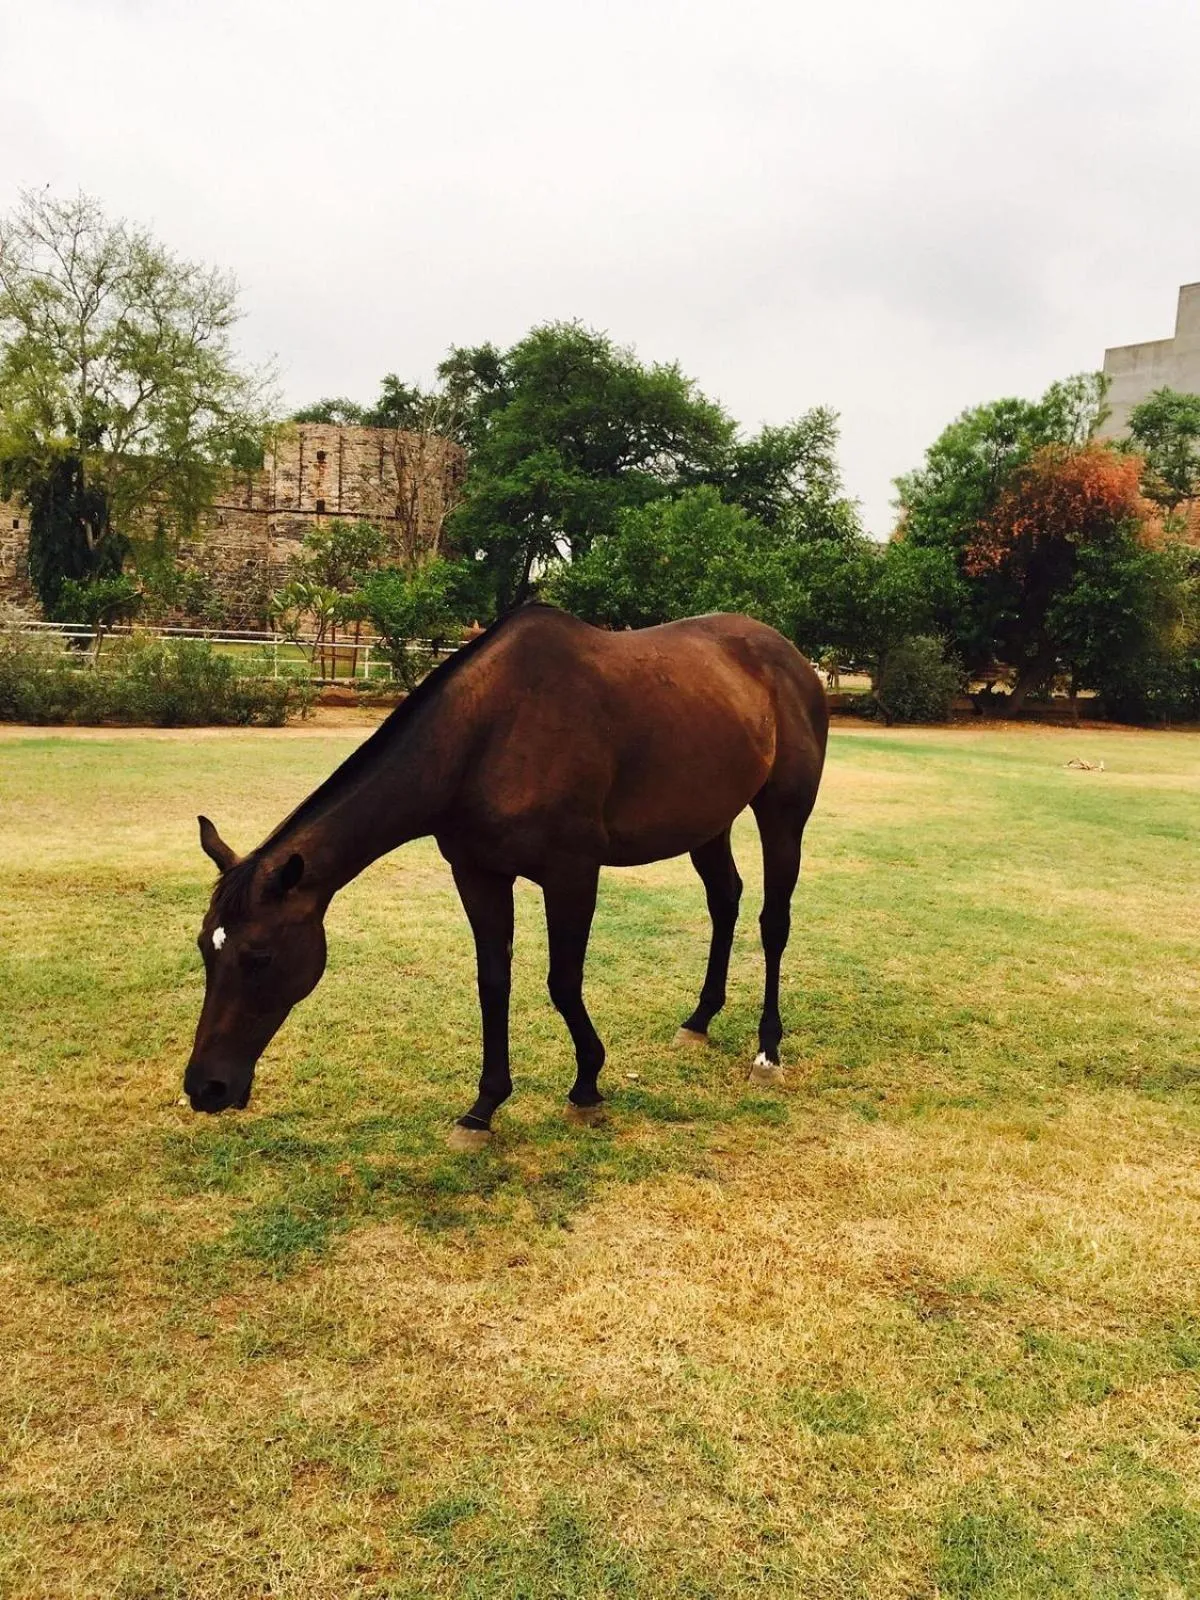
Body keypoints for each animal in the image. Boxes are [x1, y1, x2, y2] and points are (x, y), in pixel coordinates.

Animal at [184, 605, 828, 1149]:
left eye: (260, 957)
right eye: (205, 949)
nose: (204, 1088)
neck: (489, 732)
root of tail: (792, 657)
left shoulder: (572, 874)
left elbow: (562, 982)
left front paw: (586, 1087)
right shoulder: (478, 874)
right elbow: (493, 982)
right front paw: (484, 1107)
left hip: (783, 813)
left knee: (773, 921)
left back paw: (767, 1050)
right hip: (708, 823)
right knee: (725, 901)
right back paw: (699, 1021)